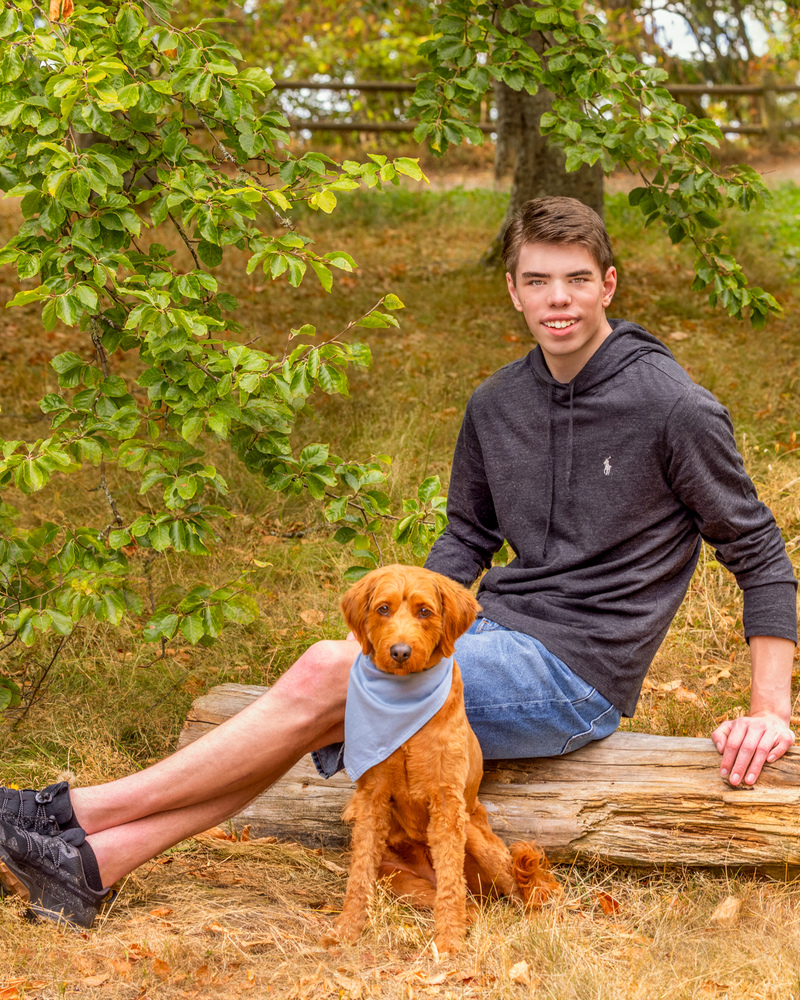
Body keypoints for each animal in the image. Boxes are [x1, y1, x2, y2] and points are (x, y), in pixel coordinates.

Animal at [323, 564, 558, 955]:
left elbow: (451, 880)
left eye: (424, 611)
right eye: (383, 609)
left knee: (515, 887)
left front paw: (448, 942)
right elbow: (359, 877)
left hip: (477, 837)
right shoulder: (372, 799)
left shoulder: (447, 802)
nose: (400, 651)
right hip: (401, 881)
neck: (404, 703)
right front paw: (347, 929)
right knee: (464, 901)